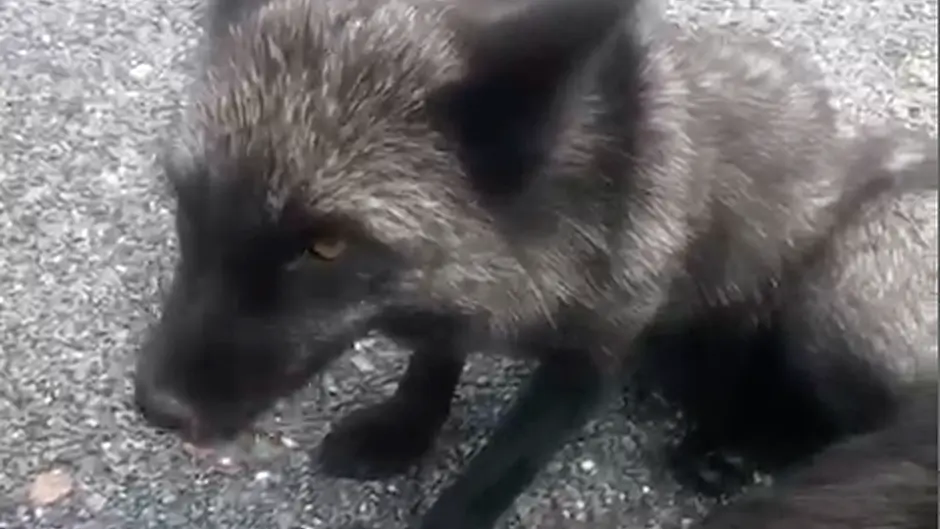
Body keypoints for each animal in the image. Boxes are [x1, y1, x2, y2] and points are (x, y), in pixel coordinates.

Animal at [131, 0, 939, 528]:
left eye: (326, 245)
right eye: (188, 201)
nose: (158, 408)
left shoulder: (596, 350)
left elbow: (500, 468)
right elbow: (432, 363)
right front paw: (406, 428)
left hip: (842, 287)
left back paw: (735, 441)